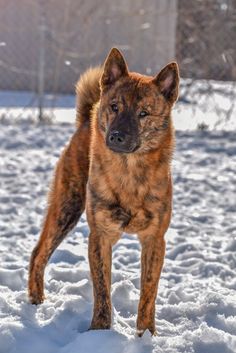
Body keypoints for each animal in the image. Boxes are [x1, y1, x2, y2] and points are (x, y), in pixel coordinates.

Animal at [28, 47, 179, 336]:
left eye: (144, 113)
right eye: (114, 106)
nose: (117, 136)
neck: (129, 173)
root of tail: (84, 121)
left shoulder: (154, 240)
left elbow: (148, 292)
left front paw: (146, 335)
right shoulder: (100, 236)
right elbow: (102, 291)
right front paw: (99, 331)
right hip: (67, 209)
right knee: (38, 253)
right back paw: (35, 300)